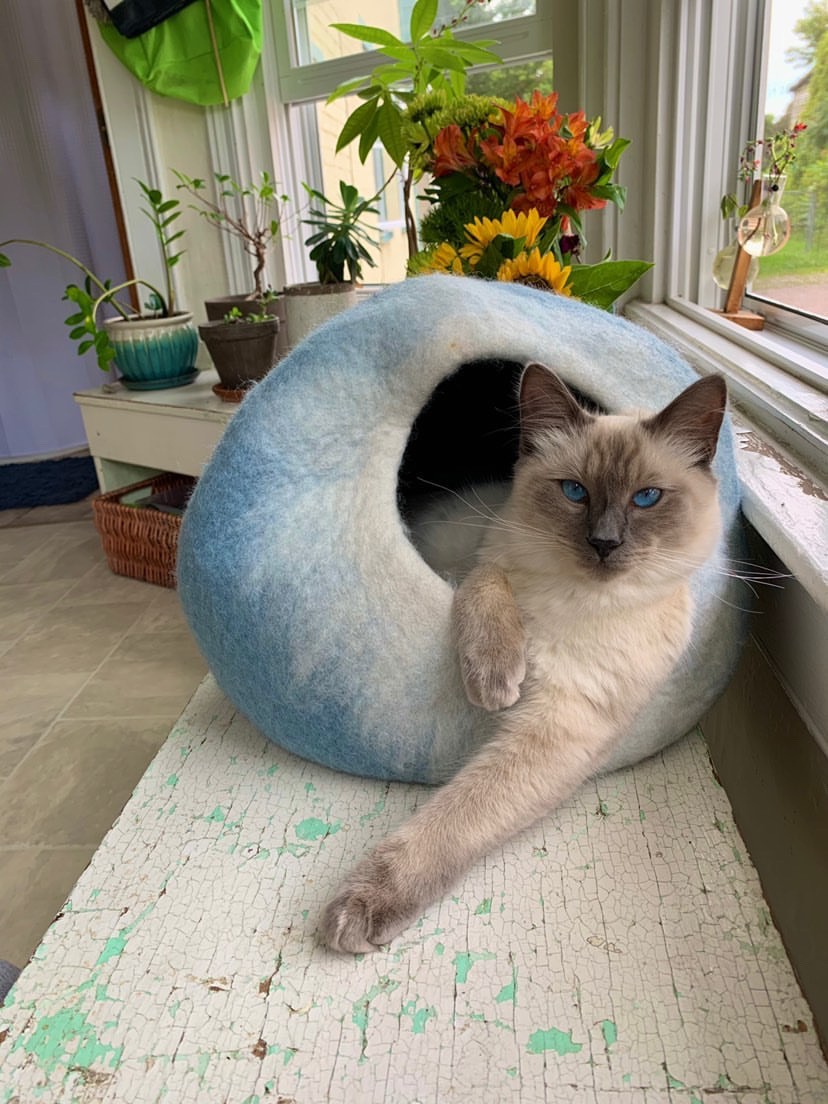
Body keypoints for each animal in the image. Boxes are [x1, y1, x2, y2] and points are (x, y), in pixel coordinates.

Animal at [320, 364, 728, 958]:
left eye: (647, 498)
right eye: (575, 492)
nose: (604, 543)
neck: (580, 602)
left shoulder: (560, 726)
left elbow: (455, 818)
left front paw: (359, 907)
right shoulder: (484, 566)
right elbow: (487, 592)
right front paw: (494, 682)